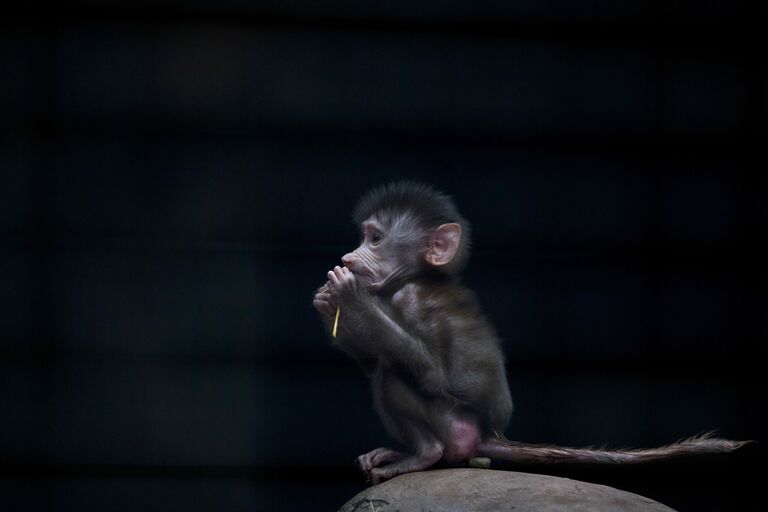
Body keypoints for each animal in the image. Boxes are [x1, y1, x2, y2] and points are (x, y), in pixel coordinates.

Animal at [310, 183, 744, 484]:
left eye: (375, 239)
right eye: (364, 236)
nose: (349, 257)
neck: (418, 276)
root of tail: (490, 434)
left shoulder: (414, 298)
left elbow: (431, 375)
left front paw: (348, 296)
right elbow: (371, 358)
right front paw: (330, 302)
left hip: (455, 427)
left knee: (391, 374)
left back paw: (423, 455)